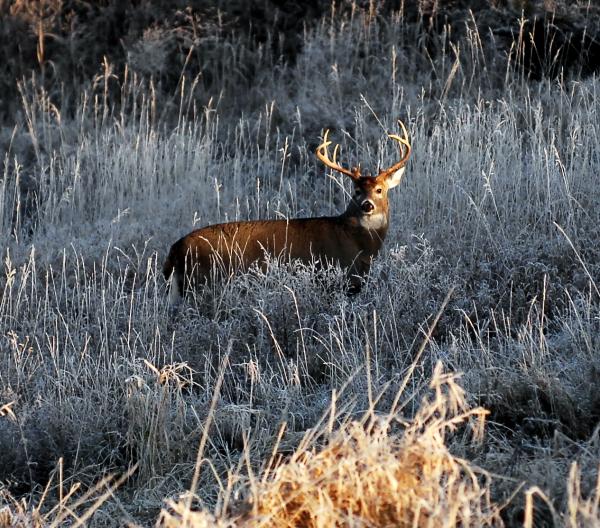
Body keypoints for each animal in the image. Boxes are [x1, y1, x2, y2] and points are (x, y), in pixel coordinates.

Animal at [162, 120, 410, 306]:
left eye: (380, 190)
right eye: (356, 191)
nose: (367, 205)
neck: (359, 244)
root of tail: (174, 250)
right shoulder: (334, 277)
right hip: (201, 283)